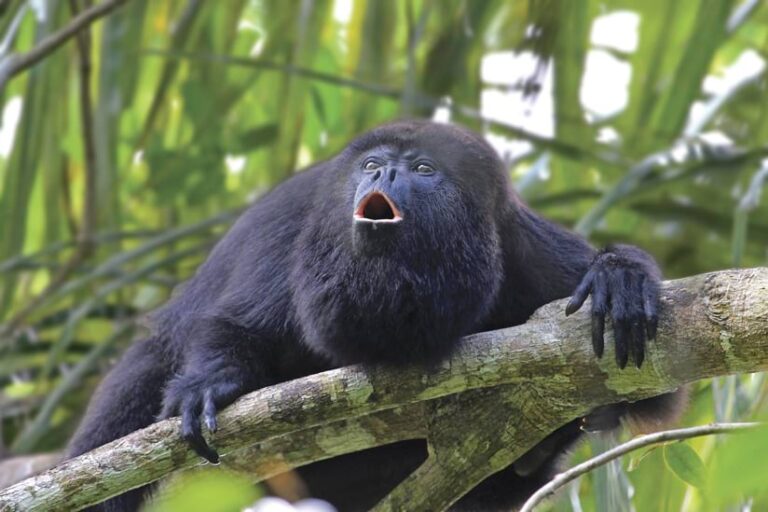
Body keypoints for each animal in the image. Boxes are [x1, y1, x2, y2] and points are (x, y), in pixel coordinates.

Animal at [68, 120, 684, 511]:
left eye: (423, 168)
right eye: (370, 164)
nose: (382, 175)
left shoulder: (522, 247)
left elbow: (653, 391)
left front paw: (618, 278)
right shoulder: (297, 224)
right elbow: (238, 326)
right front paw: (209, 384)